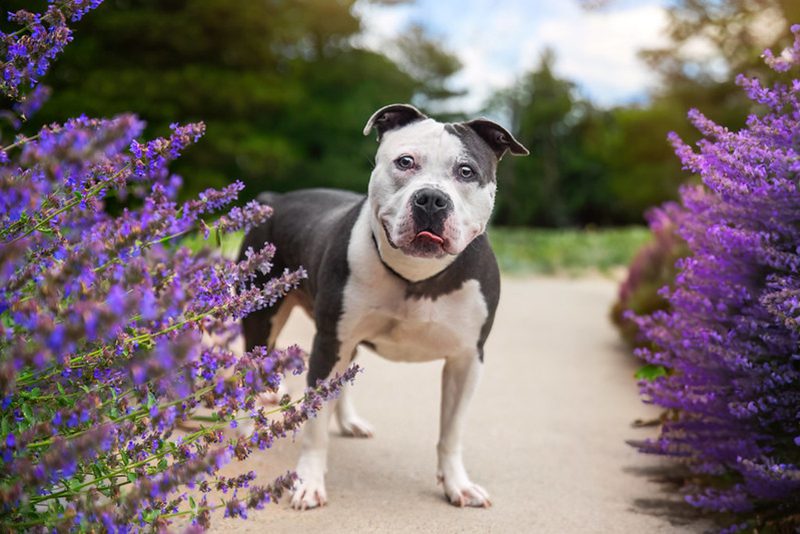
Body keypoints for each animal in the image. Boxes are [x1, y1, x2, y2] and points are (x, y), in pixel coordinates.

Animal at [241, 103, 528, 510]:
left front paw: (457, 484)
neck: (417, 275)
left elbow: (452, 431)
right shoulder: (329, 342)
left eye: (466, 171)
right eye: (405, 162)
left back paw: (348, 421)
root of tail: (276, 197)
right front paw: (308, 481)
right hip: (263, 316)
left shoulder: (467, 359)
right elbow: (315, 425)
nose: (431, 199)